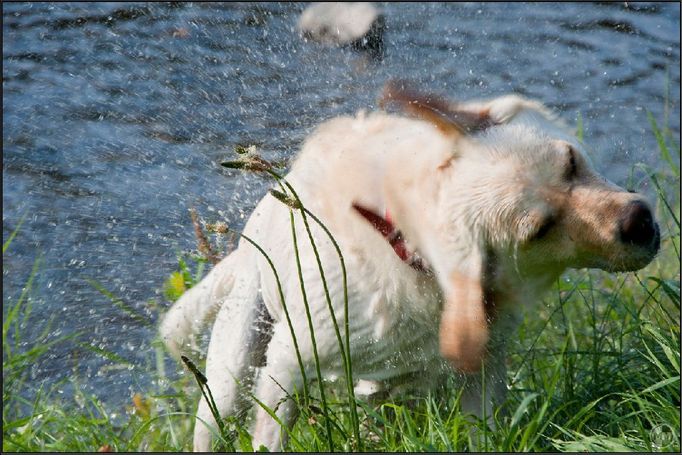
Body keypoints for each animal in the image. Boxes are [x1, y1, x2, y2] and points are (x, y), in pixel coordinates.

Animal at [159, 80, 660, 450]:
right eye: (541, 228)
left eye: (571, 161)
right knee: (217, 417)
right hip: (233, 369)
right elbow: (270, 435)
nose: (639, 222)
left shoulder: (483, 370)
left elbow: (484, 433)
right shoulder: (287, 363)